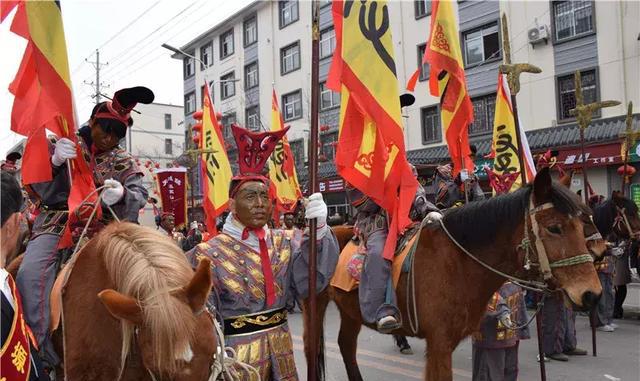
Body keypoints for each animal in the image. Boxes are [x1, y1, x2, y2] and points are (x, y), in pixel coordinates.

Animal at [302, 168, 604, 378]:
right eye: (554, 228)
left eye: (582, 224)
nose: (592, 294)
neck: (459, 262)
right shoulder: (439, 343)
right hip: (313, 306)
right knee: (310, 347)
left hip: (351, 311)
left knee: (345, 345)